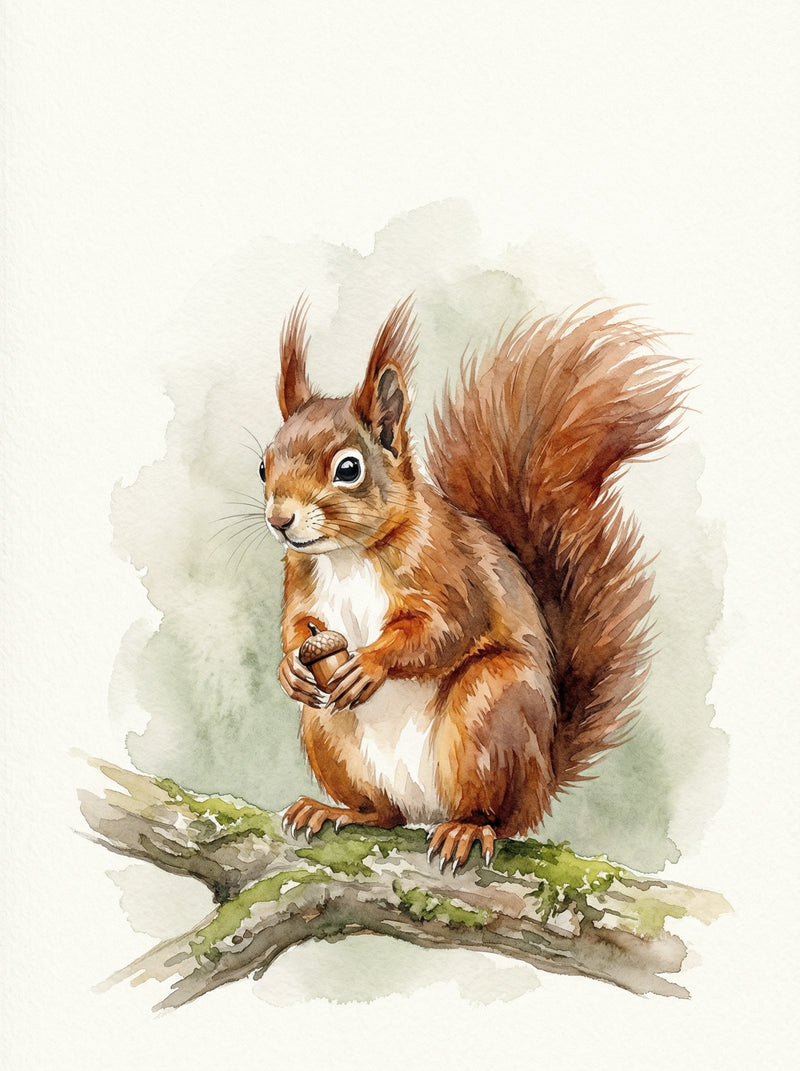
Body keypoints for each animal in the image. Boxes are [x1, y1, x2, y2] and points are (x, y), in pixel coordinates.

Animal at [261, 297, 684, 872]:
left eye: (348, 469)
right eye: (263, 466)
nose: (279, 520)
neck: (347, 554)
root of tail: (544, 779)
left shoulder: (452, 572)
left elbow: (445, 628)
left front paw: (371, 663)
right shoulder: (302, 584)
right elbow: (294, 626)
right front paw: (289, 669)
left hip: (491, 707)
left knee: (498, 818)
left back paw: (466, 829)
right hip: (327, 731)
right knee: (385, 812)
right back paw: (336, 810)